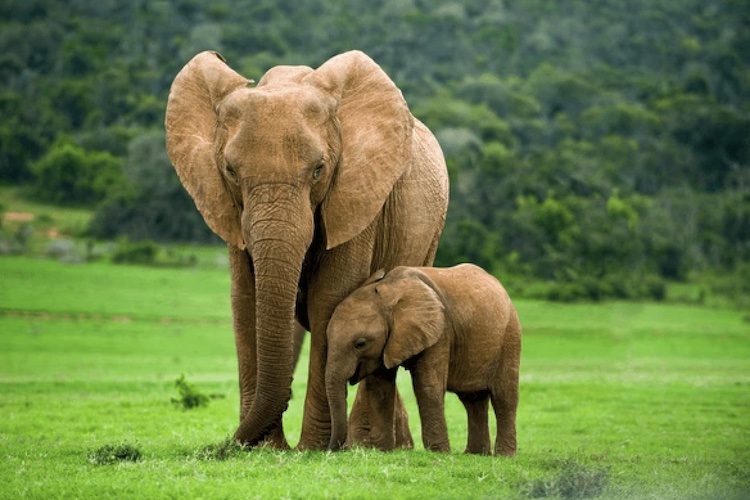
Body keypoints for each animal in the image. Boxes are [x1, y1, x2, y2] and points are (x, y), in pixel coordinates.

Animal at [164, 50, 449, 450]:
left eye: (318, 170)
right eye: (231, 171)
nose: (225, 447)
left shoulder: (356, 194)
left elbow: (329, 299)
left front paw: (311, 449)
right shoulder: (230, 210)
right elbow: (246, 299)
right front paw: (266, 449)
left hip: (430, 232)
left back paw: (371, 446)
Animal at [325, 264, 521, 456]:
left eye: (360, 343)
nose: (332, 449)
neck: (389, 291)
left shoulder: (440, 331)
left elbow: (427, 386)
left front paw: (439, 453)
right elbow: (380, 388)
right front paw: (383, 451)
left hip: (510, 335)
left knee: (504, 396)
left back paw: (504, 456)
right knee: (472, 399)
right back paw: (475, 454)